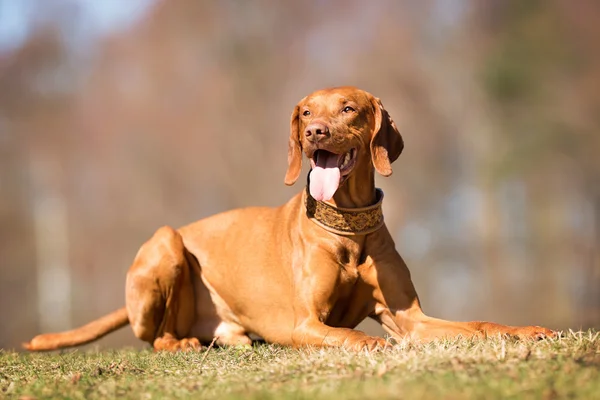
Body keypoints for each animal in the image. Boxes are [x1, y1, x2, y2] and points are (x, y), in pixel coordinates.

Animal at [24, 86, 556, 352]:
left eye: (348, 108)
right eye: (304, 113)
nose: (315, 132)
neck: (347, 224)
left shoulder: (410, 319)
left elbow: (479, 324)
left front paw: (525, 330)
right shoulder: (305, 324)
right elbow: (354, 336)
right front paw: (373, 347)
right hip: (167, 241)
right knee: (156, 337)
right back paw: (178, 343)